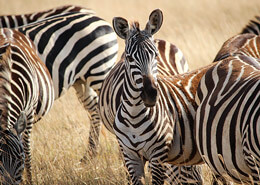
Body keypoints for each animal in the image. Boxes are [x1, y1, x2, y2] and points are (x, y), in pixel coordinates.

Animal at [109, 9, 211, 185]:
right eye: (129, 58)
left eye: (155, 55)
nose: (150, 95)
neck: (134, 115)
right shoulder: (130, 156)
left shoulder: (158, 156)